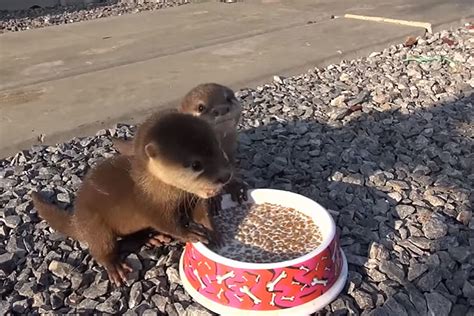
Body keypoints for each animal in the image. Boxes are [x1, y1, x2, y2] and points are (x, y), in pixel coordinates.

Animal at [30, 111, 231, 286]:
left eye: (219, 149)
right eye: (196, 164)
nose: (226, 176)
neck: (159, 190)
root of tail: (77, 218)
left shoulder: (192, 198)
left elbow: (201, 213)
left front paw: (213, 231)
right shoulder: (150, 206)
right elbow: (168, 224)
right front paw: (191, 233)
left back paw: (152, 238)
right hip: (94, 223)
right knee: (101, 247)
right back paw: (115, 267)